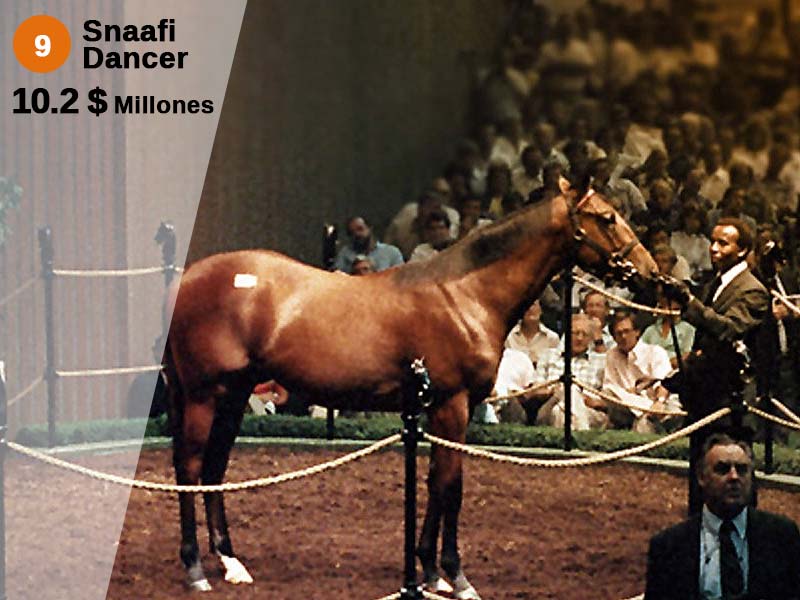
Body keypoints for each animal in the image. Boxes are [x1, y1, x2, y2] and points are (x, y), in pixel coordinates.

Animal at [163, 182, 659, 597]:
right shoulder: (451, 405)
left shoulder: (443, 410)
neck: (465, 295)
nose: (652, 274)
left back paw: (230, 562)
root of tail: (186, 278)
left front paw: (431, 572)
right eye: (607, 217)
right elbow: (452, 486)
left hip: (233, 395)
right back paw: (195, 569)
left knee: (215, 467)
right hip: (205, 396)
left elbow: (437, 483)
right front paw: (457, 576)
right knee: (190, 465)